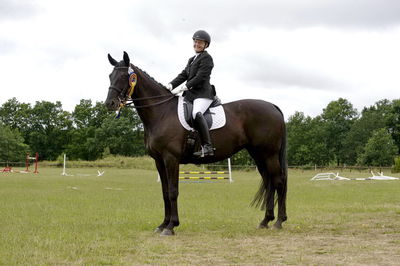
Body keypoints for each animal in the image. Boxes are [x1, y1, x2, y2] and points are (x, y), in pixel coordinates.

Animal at [105, 51, 288, 235]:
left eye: (124, 76)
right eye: (110, 76)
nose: (110, 104)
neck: (161, 113)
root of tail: (272, 106)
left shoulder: (171, 158)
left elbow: (173, 191)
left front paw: (171, 226)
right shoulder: (159, 161)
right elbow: (164, 192)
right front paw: (163, 224)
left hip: (269, 154)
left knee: (278, 182)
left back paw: (278, 222)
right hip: (258, 154)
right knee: (269, 182)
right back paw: (265, 221)